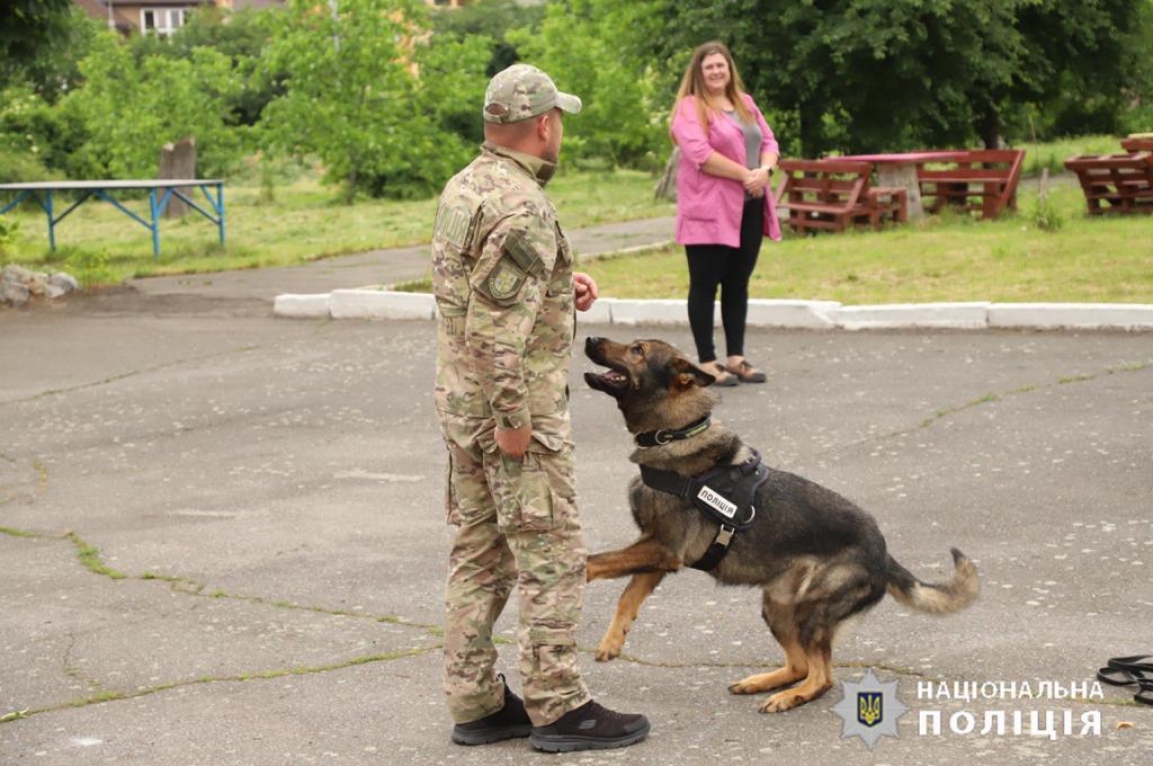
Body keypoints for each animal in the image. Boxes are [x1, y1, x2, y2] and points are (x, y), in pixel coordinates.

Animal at [581, 339, 977, 715]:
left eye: (637, 350)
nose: (589, 337)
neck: (675, 434)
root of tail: (883, 553)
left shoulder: (663, 548)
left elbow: (596, 561)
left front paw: (576, 573)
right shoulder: (658, 553)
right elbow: (628, 594)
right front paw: (613, 639)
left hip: (811, 613)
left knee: (822, 676)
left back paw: (789, 697)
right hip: (777, 605)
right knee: (801, 665)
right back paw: (763, 682)